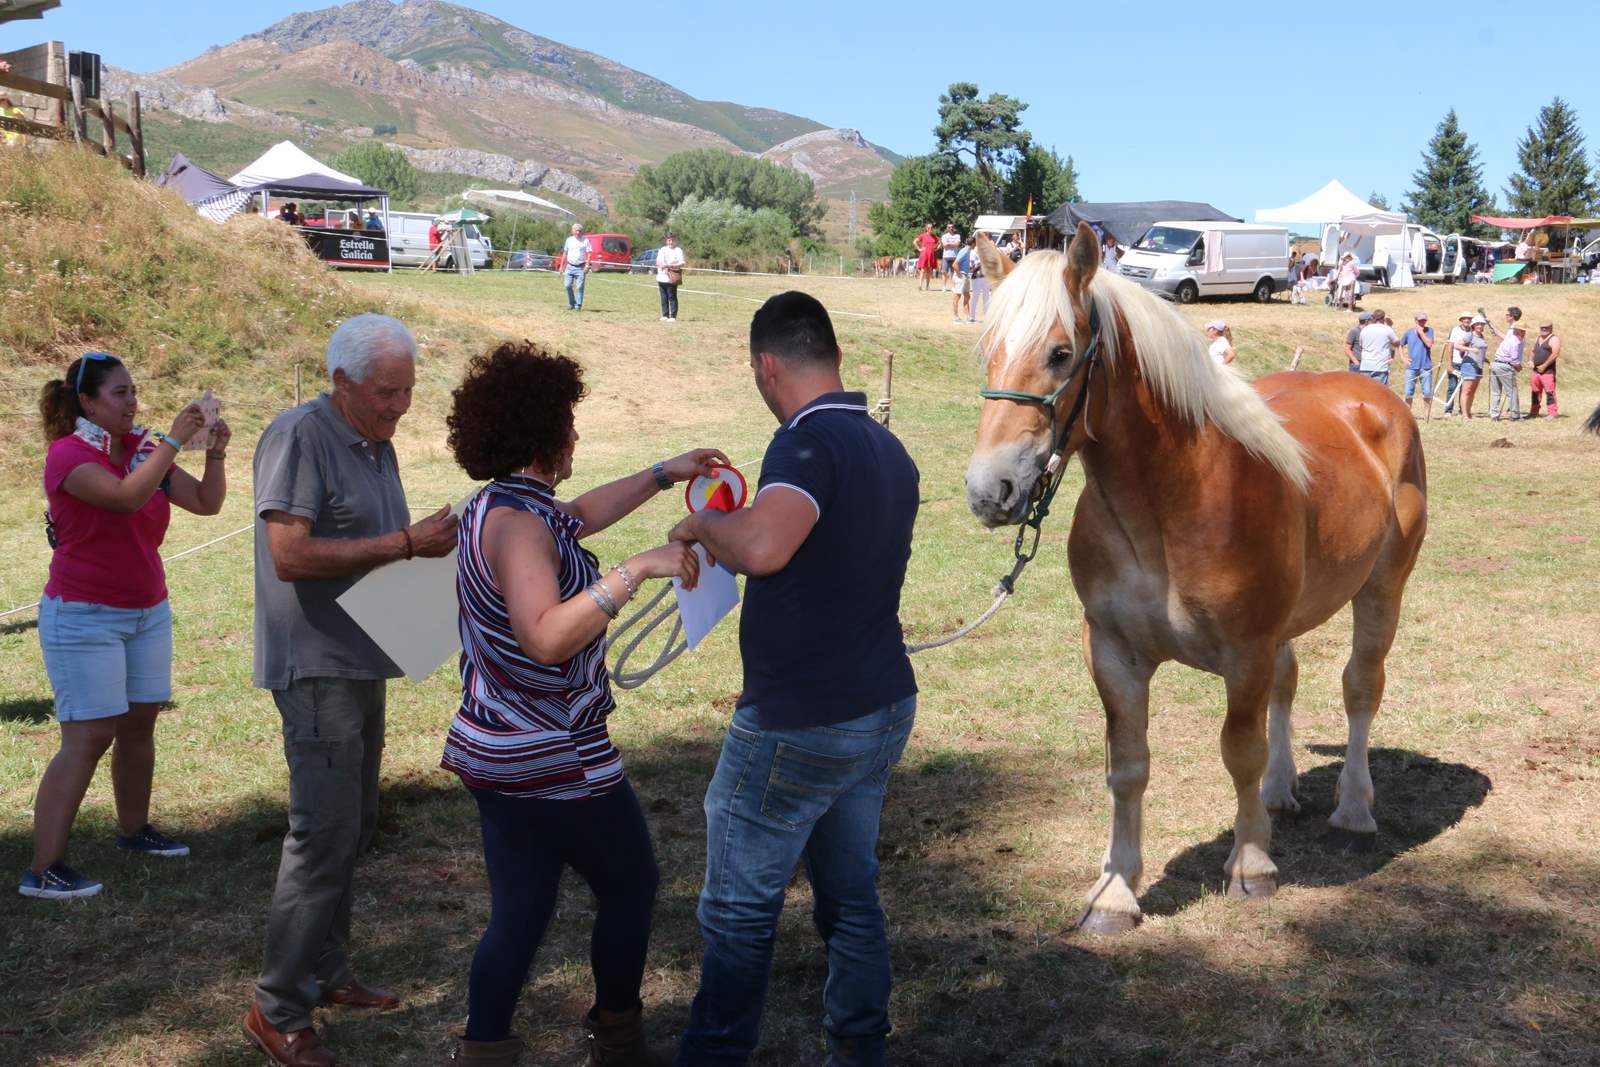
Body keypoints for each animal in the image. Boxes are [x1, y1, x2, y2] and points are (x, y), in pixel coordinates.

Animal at [960, 225, 1427, 934]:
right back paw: (1281, 793)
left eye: (1060, 353)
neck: (1169, 505)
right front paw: (1115, 893)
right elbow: (1127, 766)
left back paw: (1352, 810)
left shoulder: (1245, 653)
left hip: (1381, 591)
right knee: (1289, 685)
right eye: (988, 351)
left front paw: (1251, 866)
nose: (991, 490)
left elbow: (1240, 750)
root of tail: (1374, 400)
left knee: (1360, 689)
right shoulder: (1113, 653)